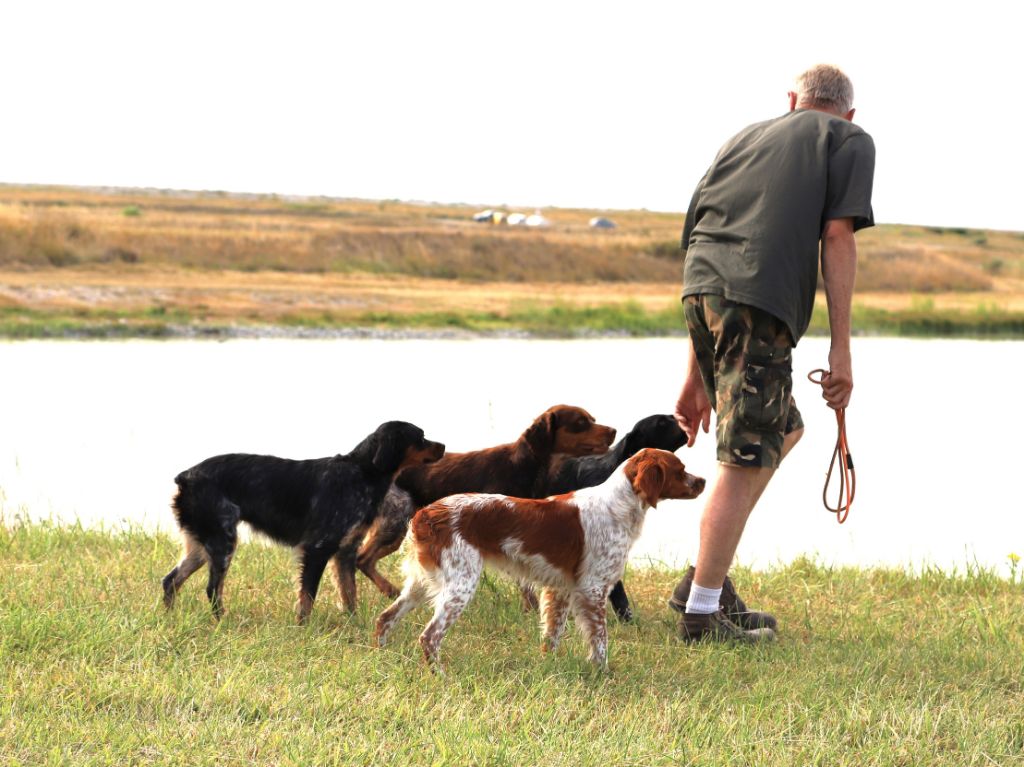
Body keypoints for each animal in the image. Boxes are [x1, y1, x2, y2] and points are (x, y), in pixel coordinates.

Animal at [161, 419, 442, 622]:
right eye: (421, 437)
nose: (443, 445)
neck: (362, 473)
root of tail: (185, 476)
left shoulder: (346, 551)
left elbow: (349, 593)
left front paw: (354, 625)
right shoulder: (319, 548)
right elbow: (308, 596)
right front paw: (303, 627)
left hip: (202, 545)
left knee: (170, 580)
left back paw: (169, 618)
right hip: (223, 542)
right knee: (212, 589)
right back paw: (222, 622)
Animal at [352, 403, 610, 602]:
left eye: (592, 419)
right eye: (580, 422)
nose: (613, 430)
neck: (526, 465)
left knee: (364, 560)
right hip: (396, 521)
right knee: (362, 558)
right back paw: (389, 591)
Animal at [374, 446, 704, 667]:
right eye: (679, 469)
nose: (702, 481)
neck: (617, 506)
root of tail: (426, 514)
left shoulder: (561, 589)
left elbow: (552, 635)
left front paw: (549, 666)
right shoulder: (593, 589)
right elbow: (600, 640)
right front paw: (602, 672)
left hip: (421, 584)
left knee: (385, 618)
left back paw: (382, 654)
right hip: (460, 586)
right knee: (429, 636)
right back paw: (439, 674)